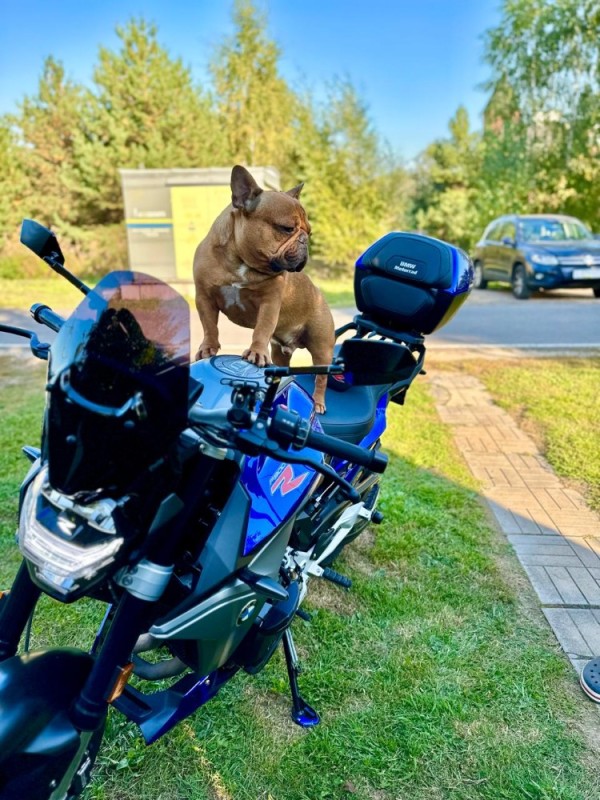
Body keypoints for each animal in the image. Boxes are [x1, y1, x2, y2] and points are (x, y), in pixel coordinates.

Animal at [193, 162, 336, 412]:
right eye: (287, 228)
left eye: (309, 232)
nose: (305, 240)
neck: (241, 261)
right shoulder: (204, 296)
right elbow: (209, 326)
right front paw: (208, 348)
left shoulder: (269, 302)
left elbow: (262, 328)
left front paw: (257, 352)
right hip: (280, 352)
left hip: (322, 348)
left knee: (321, 378)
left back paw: (317, 403)